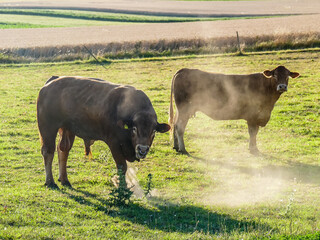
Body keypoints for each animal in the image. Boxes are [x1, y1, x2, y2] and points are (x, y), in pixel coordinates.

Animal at [37, 76, 170, 188]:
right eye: (134, 129)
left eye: (153, 131)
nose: (142, 149)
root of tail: (50, 83)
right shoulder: (114, 143)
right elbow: (122, 166)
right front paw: (122, 188)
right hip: (48, 128)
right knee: (48, 152)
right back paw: (50, 182)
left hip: (67, 130)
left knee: (63, 151)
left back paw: (64, 180)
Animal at [169, 65, 298, 156]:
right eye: (274, 75)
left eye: (287, 76)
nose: (282, 86)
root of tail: (184, 70)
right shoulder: (252, 116)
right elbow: (252, 132)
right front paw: (253, 149)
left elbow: (255, 132)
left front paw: (253, 147)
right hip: (184, 109)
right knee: (180, 127)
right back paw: (183, 149)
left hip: (180, 110)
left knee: (175, 124)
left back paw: (176, 146)